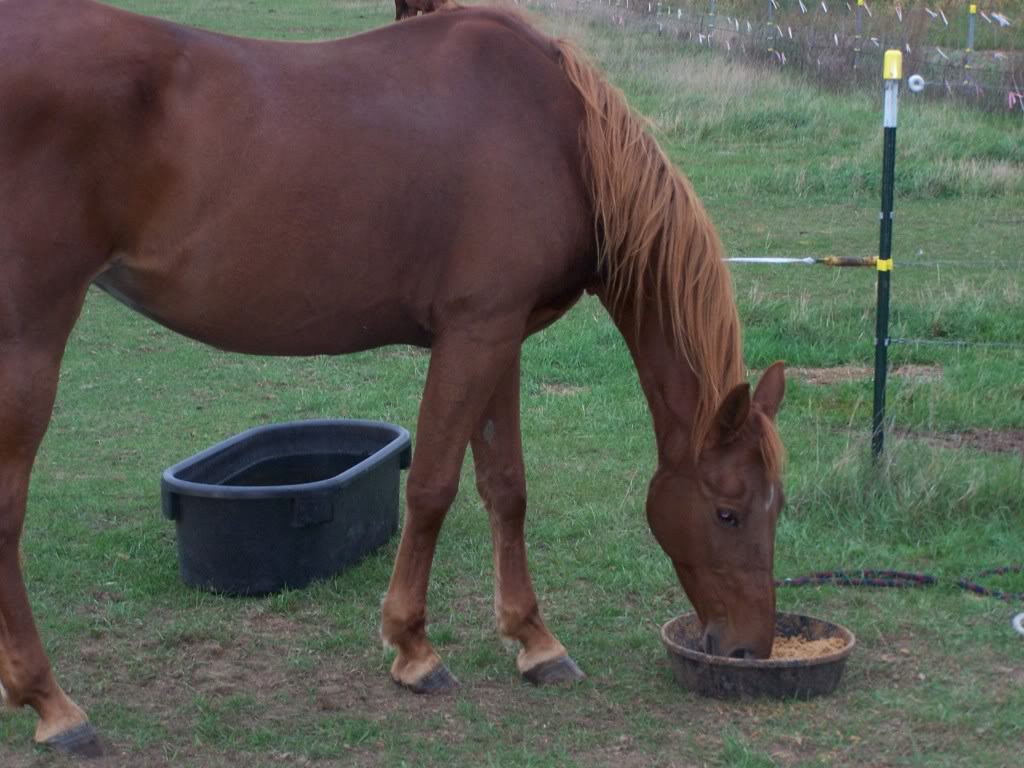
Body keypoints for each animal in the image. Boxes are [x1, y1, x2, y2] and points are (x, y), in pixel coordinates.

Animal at [0, 0, 782, 757]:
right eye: (728, 513)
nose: (751, 649)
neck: (561, 136)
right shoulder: (472, 334)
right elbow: (432, 487)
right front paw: (414, 649)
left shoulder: (501, 337)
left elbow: (507, 489)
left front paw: (533, 641)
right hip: (28, 341)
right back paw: (53, 706)